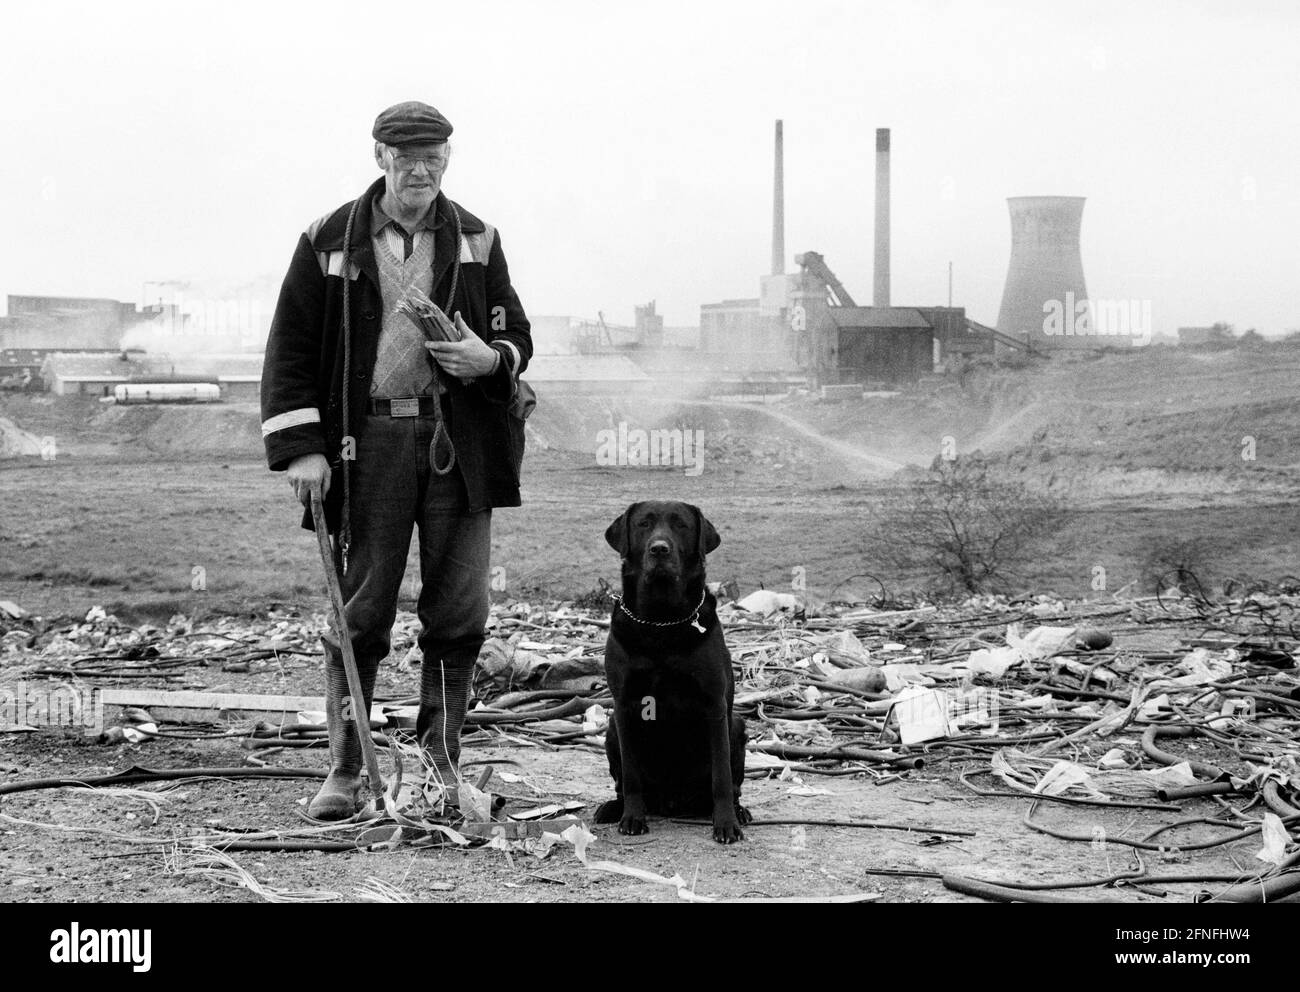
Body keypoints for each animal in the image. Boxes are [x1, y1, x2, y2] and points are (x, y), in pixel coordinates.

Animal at [592, 499, 748, 842]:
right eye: (643, 524)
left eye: (681, 525)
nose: (659, 549)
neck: (660, 621)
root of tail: (672, 802)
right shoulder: (624, 706)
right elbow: (631, 775)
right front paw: (632, 818)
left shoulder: (714, 705)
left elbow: (721, 775)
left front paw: (726, 823)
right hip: (610, 731)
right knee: (622, 784)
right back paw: (613, 808)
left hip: (737, 726)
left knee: (732, 784)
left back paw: (740, 811)